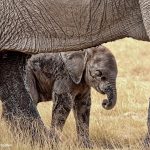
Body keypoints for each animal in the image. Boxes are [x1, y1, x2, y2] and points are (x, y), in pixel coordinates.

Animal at [0, 0, 149, 145]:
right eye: (98, 74)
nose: (105, 102)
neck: (85, 52)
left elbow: (84, 105)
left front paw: (85, 146)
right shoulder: (65, 75)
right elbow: (64, 102)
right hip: (30, 74)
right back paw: (44, 142)